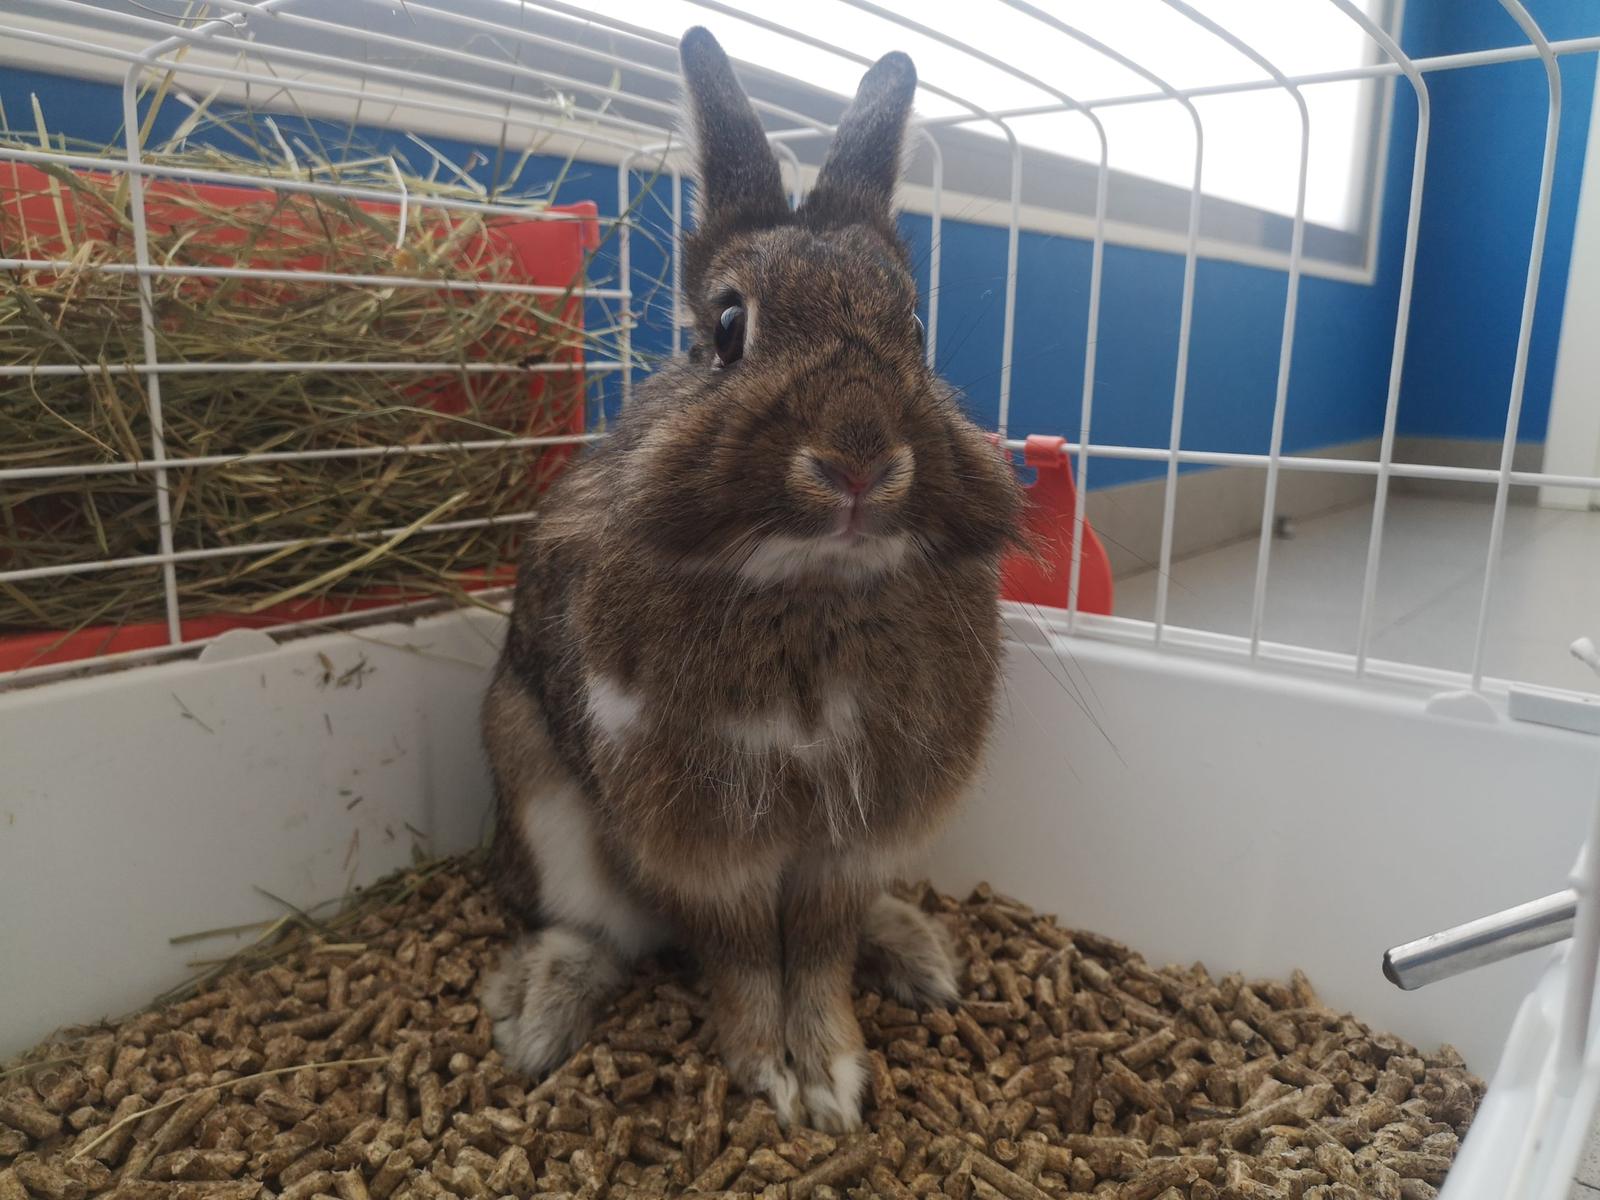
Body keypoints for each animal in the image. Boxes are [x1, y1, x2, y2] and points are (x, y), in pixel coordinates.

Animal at [479, 25, 1023, 1134]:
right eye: (728, 329)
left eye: (915, 331)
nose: (859, 460)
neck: (810, 586)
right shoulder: (695, 834)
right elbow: (737, 955)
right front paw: (773, 1073)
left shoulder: (852, 836)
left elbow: (816, 947)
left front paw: (833, 1077)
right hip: (541, 801)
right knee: (600, 930)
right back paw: (539, 1018)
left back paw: (920, 955)